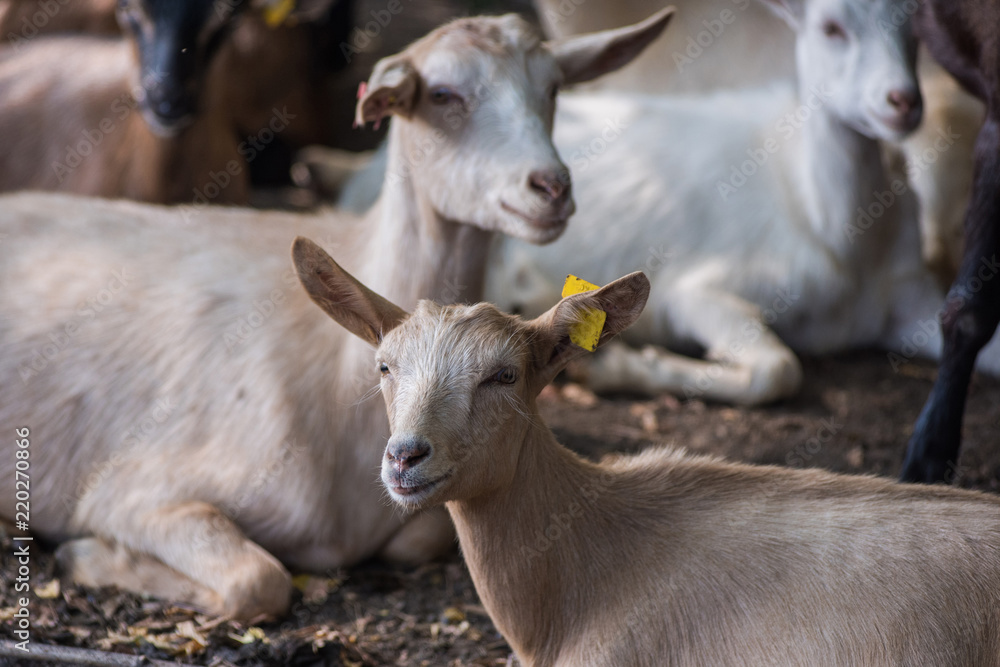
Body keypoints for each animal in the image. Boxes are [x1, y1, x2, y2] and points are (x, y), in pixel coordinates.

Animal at [0, 9, 672, 620]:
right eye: (443, 95)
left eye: (554, 87)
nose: (551, 187)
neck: (332, 377)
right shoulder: (135, 489)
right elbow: (259, 581)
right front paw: (89, 555)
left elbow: (419, 536)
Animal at [486, 0, 1000, 408]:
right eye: (831, 27)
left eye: (916, 30)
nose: (903, 101)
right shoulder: (694, 290)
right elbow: (779, 369)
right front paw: (616, 369)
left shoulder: (913, 302)